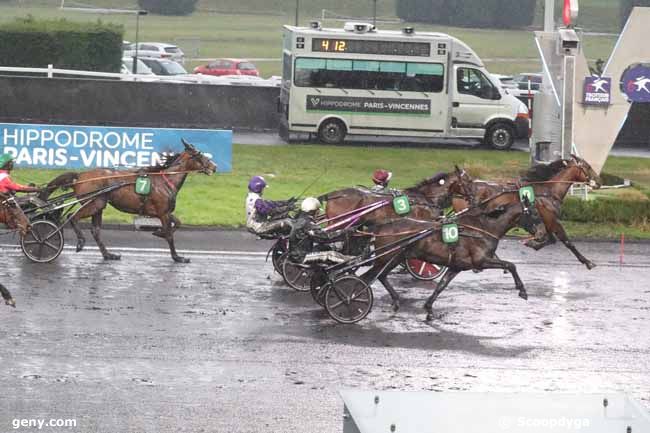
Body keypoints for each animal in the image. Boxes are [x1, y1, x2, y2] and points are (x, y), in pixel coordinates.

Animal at [40, 140, 218, 262]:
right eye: (200, 155)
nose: (214, 167)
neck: (165, 181)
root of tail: (80, 176)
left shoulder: (164, 212)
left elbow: (178, 223)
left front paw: (158, 232)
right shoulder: (162, 213)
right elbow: (169, 235)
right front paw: (177, 257)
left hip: (99, 205)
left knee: (96, 230)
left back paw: (108, 254)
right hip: (93, 203)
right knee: (73, 218)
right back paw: (80, 242)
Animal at [450, 155, 596, 268]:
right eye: (588, 167)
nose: (597, 182)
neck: (548, 192)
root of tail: (460, 192)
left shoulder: (542, 221)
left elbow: (549, 239)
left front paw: (532, 243)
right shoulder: (551, 219)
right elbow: (565, 241)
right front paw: (587, 261)